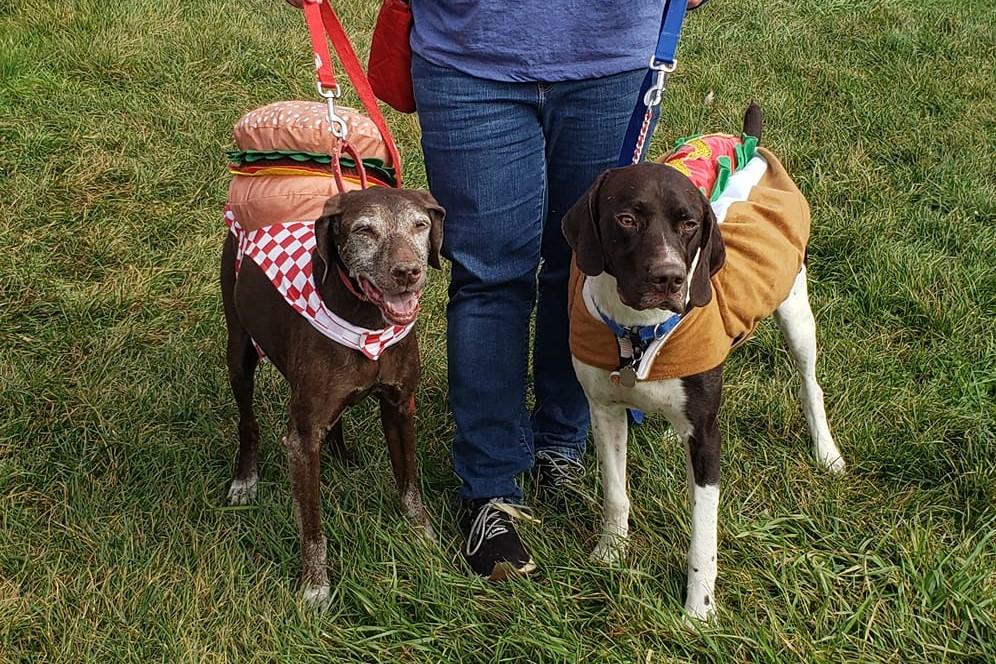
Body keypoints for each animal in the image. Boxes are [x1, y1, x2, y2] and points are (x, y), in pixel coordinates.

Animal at [224, 185, 446, 608]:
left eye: (420, 225)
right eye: (364, 230)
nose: (408, 272)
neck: (368, 324)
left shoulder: (399, 407)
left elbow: (409, 485)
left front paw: (423, 536)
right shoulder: (302, 439)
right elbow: (312, 529)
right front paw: (315, 587)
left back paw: (342, 457)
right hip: (239, 350)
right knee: (248, 422)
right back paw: (245, 478)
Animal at [564, 102, 844, 616]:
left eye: (689, 222)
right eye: (626, 218)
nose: (670, 278)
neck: (639, 331)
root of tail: (749, 141)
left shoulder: (709, 444)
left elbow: (703, 539)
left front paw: (698, 611)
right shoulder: (605, 411)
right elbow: (615, 494)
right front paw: (611, 553)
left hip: (795, 309)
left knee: (809, 382)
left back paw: (826, 453)